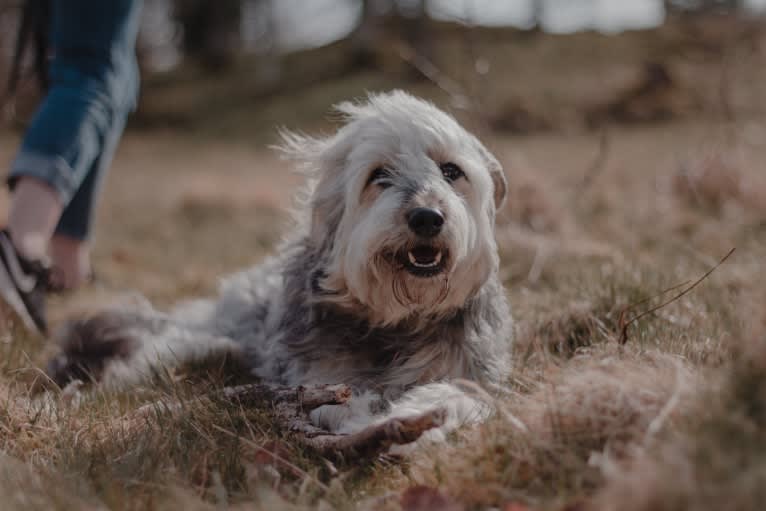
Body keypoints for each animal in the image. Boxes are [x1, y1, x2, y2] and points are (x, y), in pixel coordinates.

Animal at [48, 93, 516, 448]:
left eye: (451, 171)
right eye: (379, 175)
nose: (426, 218)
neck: (397, 321)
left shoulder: (471, 372)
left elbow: (452, 395)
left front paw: (412, 421)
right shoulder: (319, 376)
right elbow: (337, 402)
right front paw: (367, 423)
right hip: (194, 346)